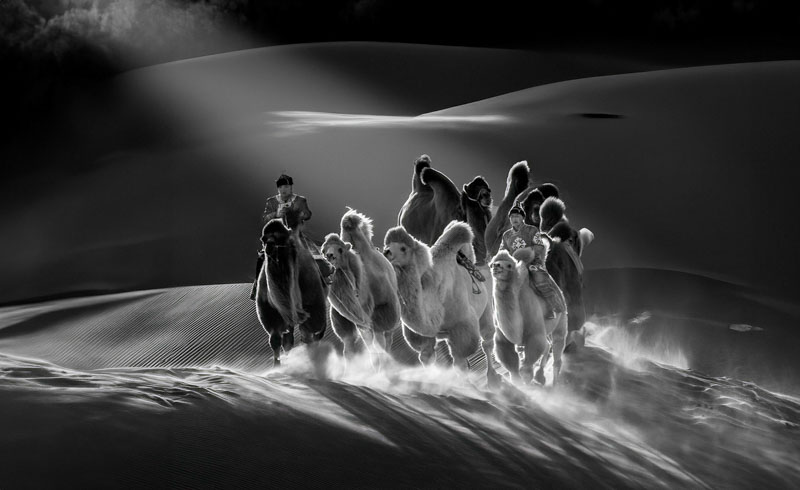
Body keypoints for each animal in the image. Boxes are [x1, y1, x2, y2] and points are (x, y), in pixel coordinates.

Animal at [254, 209, 329, 367]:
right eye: (264, 239)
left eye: (281, 237)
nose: (269, 246)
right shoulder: (271, 313)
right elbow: (276, 340)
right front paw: (276, 366)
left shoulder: (313, 307)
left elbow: (311, 334)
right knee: (289, 339)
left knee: (314, 335)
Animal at [322, 209, 402, 369]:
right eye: (323, 249)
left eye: (340, 249)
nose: (329, 256)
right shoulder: (350, 321)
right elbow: (350, 349)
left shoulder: (379, 314)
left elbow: (378, 346)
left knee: (386, 340)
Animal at [383, 221, 500, 387]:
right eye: (387, 244)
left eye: (403, 248)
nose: (386, 252)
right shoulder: (422, 337)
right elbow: (427, 357)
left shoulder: (463, 327)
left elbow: (459, 361)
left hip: (486, 307)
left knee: (487, 340)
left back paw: (492, 378)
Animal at [489, 248, 568, 385]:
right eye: (494, 263)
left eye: (508, 265)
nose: (496, 266)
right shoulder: (502, 338)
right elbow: (513, 371)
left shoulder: (535, 333)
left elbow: (525, 370)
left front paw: (527, 381)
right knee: (547, 345)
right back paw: (540, 377)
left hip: (561, 317)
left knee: (557, 345)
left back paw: (553, 383)